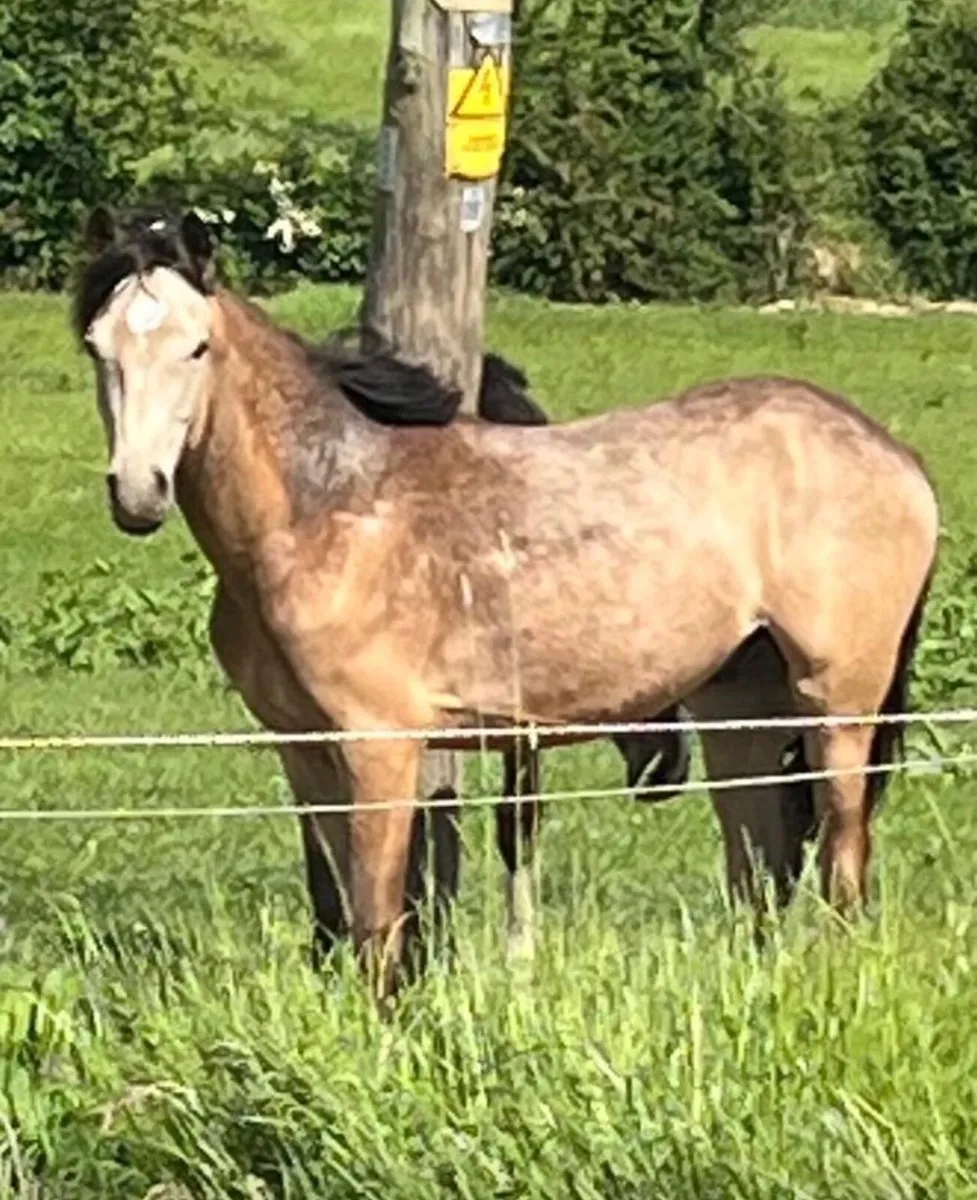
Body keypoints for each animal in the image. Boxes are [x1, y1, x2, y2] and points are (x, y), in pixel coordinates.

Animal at [74, 207, 939, 1000]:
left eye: (196, 348)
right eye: (97, 347)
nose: (137, 493)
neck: (326, 509)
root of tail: (894, 454)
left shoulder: (380, 745)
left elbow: (378, 922)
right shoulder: (302, 747)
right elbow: (332, 908)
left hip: (837, 702)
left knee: (841, 858)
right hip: (740, 709)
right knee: (760, 870)